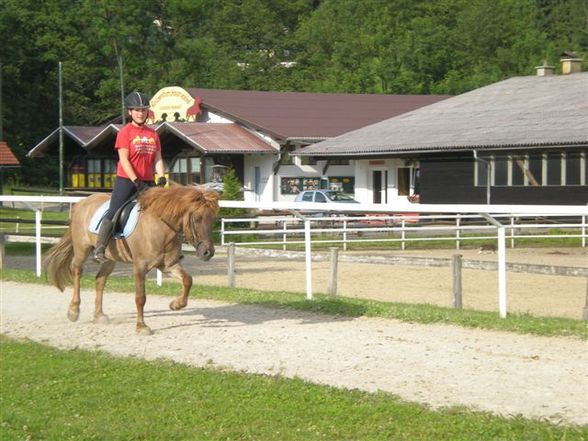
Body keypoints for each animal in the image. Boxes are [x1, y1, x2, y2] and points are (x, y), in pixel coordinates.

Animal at [43, 185, 218, 334]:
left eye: (212, 220)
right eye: (197, 218)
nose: (208, 252)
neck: (160, 226)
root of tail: (82, 203)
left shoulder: (168, 265)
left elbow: (188, 280)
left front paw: (176, 304)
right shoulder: (139, 267)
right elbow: (140, 298)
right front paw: (141, 327)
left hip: (110, 258)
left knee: (100, 280)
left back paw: (99, 315)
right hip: (81, 249)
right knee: (77, 271)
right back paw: (73, 310)